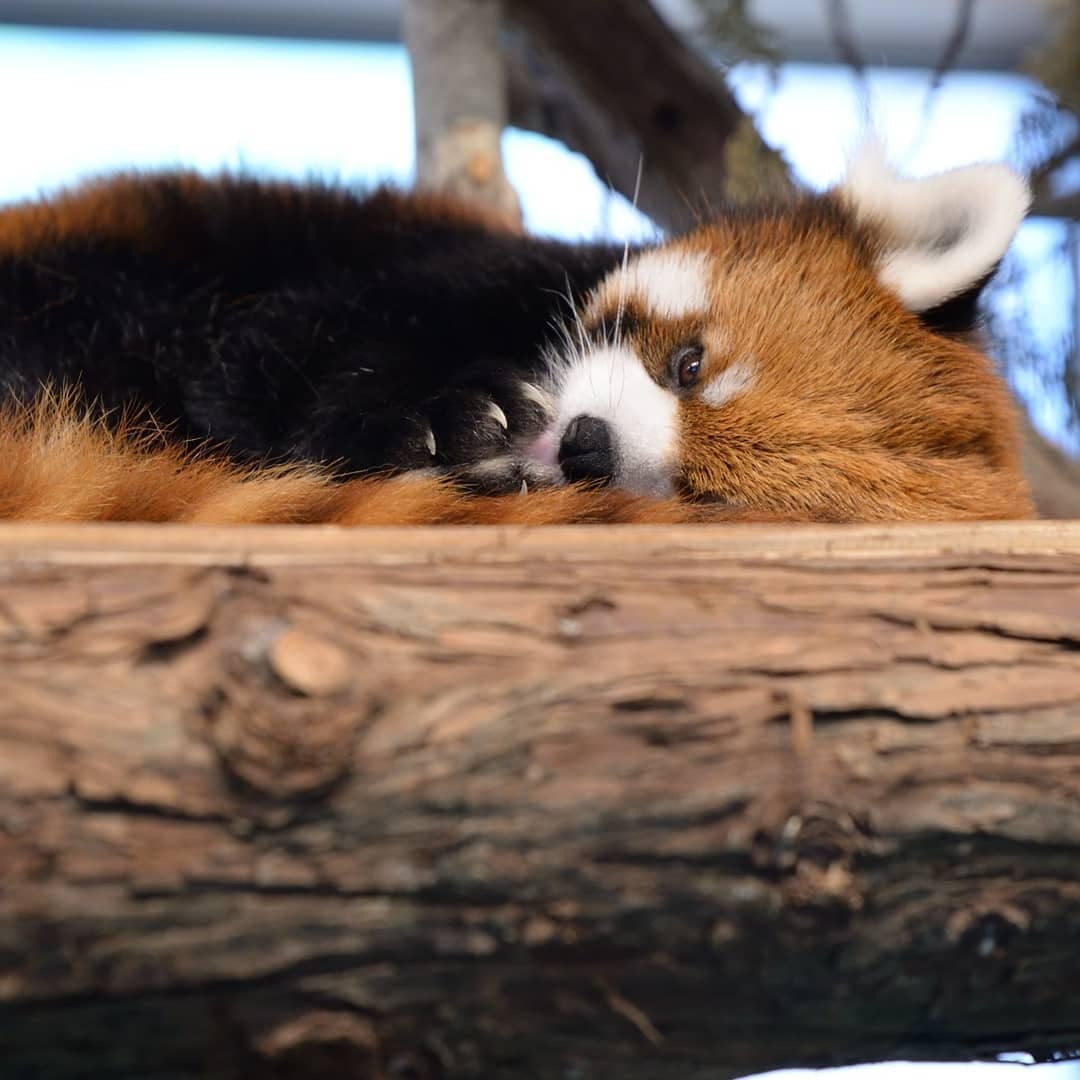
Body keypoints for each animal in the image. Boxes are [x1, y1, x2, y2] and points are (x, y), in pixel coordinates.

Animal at [0, 147, 1032, 527]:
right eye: (688, 363)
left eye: (704, 489)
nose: (587, 447)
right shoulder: (446, 271)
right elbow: (280, 351)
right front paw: (454, 421)